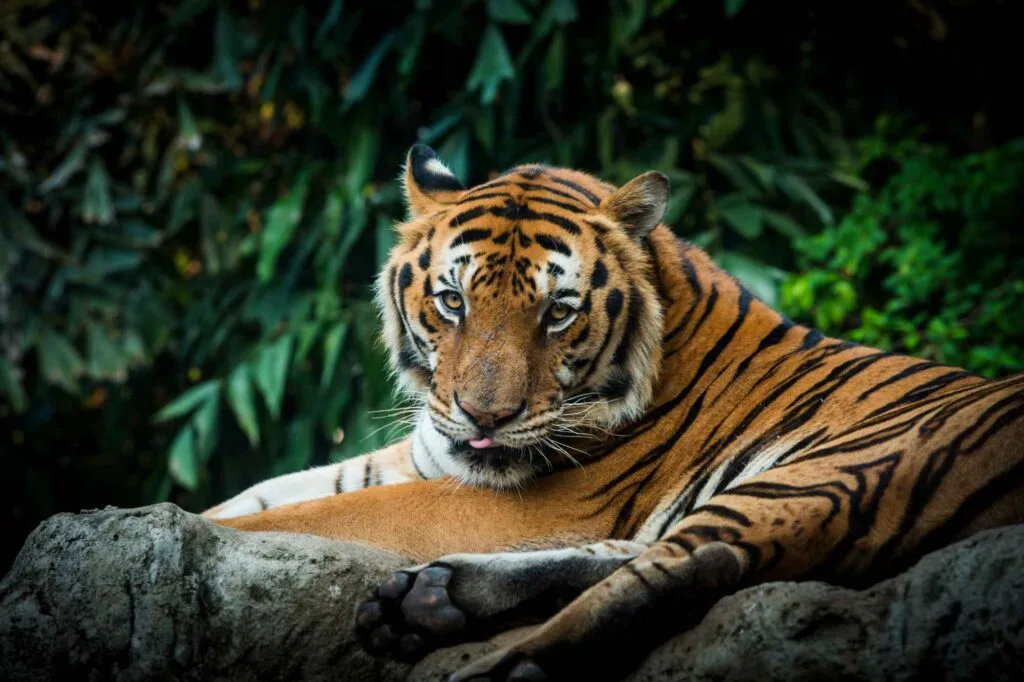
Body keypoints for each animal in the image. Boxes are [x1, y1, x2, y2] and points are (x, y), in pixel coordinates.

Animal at [206, 144, 1024, 681]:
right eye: (453, 301)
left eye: (558, 312)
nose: (485, 418)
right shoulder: (424, 454)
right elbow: (263, 496)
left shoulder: (525, 502)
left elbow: (304, 515)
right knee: (684, 557)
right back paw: (433, 599)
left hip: (839, 465)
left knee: (691, 564)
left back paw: (492, 657)